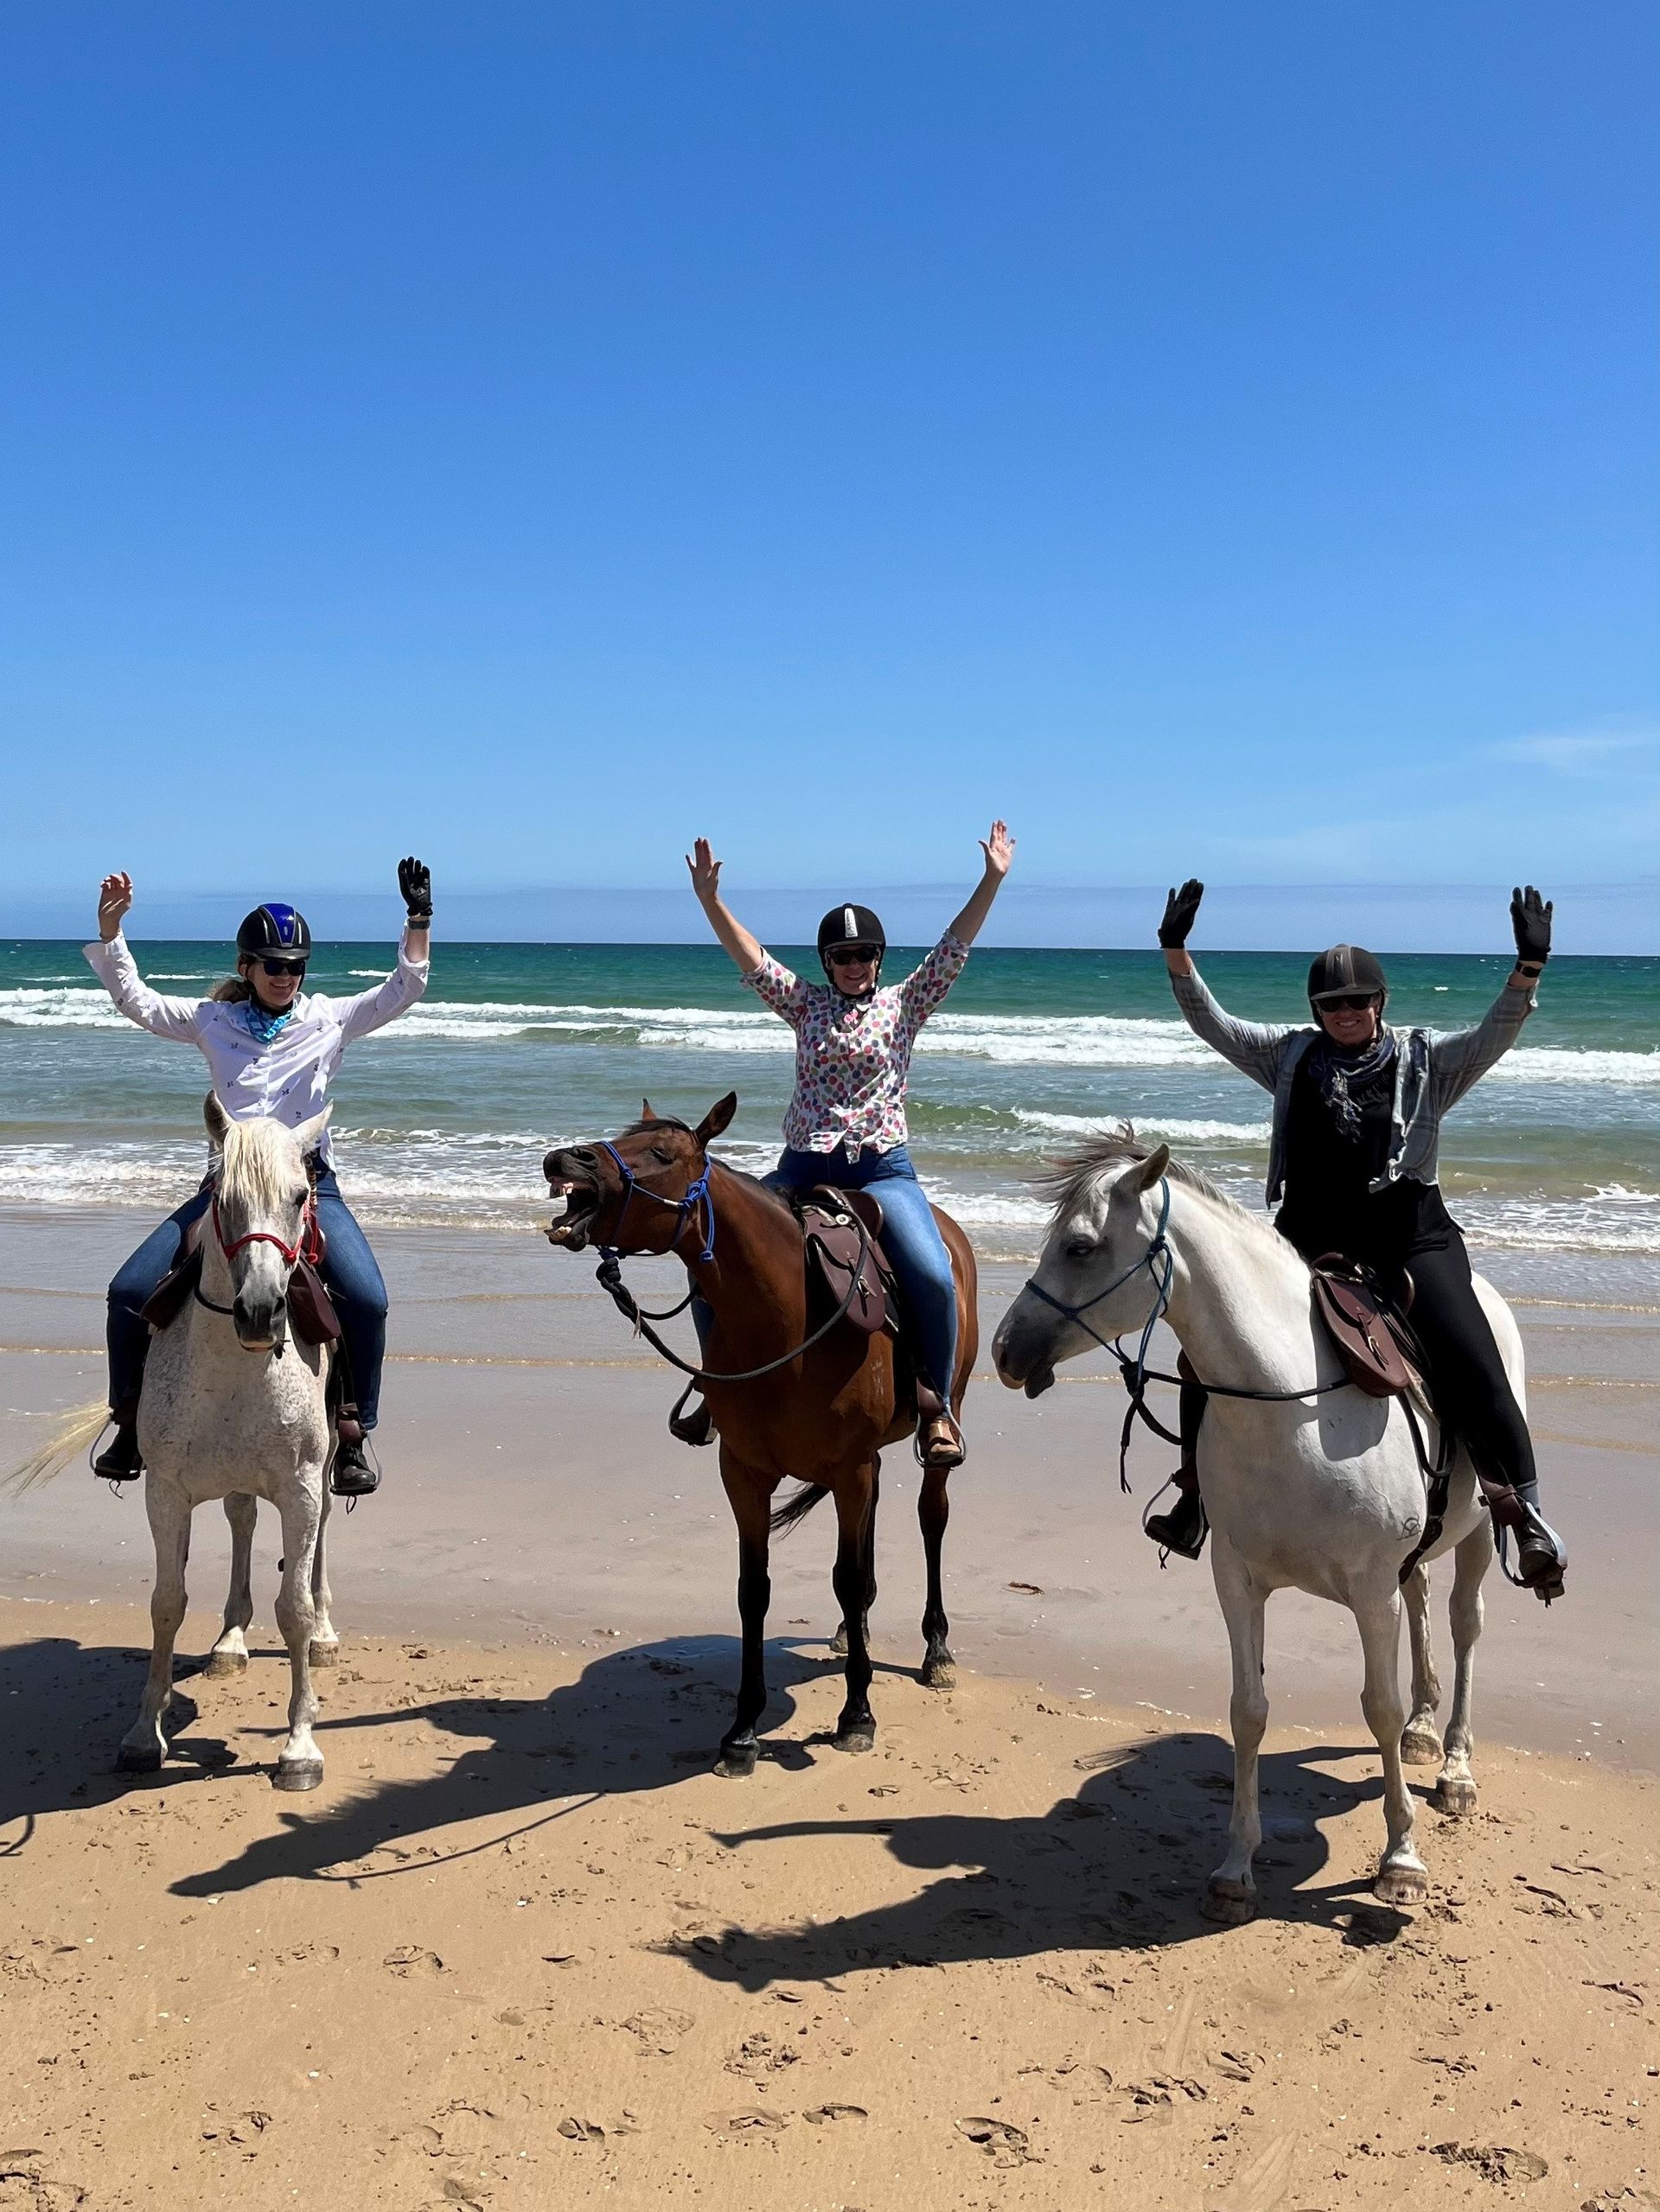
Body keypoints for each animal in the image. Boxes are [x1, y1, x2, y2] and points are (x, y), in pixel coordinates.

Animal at [119, 1096, 341, 1789]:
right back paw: (230, 1642)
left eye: (300, 1195)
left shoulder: (299, 1487)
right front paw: (144, 1734)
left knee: (324, 1529)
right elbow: (167, 1602)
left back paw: (325, 1633)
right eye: (224, 1199)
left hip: (325, 1468)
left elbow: (293, 1608)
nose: (261, 1312)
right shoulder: (165, 1491)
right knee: (242, 1520)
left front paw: (299, 1745)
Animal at [543, 1093, 979, 1776]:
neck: (787, 1320)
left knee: (931, 1517)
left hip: (939, 1417)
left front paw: (857, 1715)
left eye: (660, 1152)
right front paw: (743, 1729)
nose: (563, 1159)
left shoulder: (848, 1467)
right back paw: (853, 1629)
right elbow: (756, 1590)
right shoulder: (745, 1472)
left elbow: (844, 1577)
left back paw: (936, 1649)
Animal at [992, 1132, 1500, 1923]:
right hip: (1412, 1559)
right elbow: (1249, 1711)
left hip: (1475, 1533)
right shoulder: (1237, 1581)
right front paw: (1235, 1867)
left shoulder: (1369, 1592)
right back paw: (1426, 1732)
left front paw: (1401, 1860)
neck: (1293, 1409)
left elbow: (1378, 1709)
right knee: (1423, 1603)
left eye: (1079, 1247)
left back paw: (1454, 1767)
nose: (1005, 1348)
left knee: (1464, 1623)